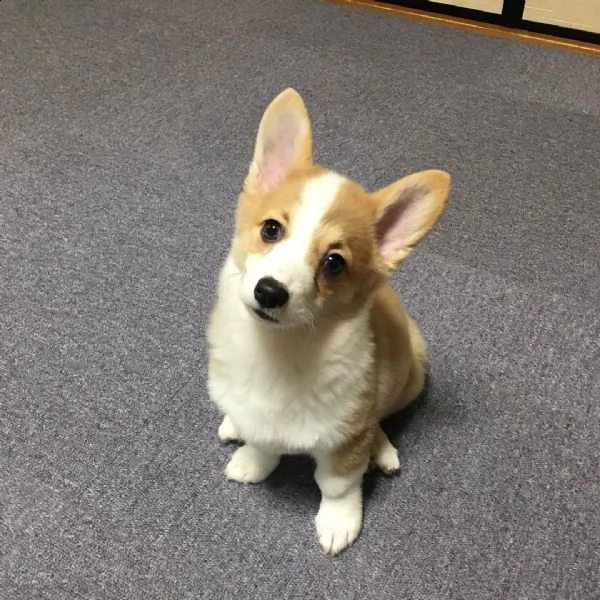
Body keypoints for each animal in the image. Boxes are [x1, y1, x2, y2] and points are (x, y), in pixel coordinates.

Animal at [207, 86, 450, 556]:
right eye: (270, 229)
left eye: (334, 263)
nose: (269, 292)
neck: (280, 351)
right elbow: (263, 444)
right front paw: (252, 462)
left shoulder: (344, 438)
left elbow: (337, 484)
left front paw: (339, 522)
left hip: (408, 377)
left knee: (379, 420)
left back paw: (383, 450)